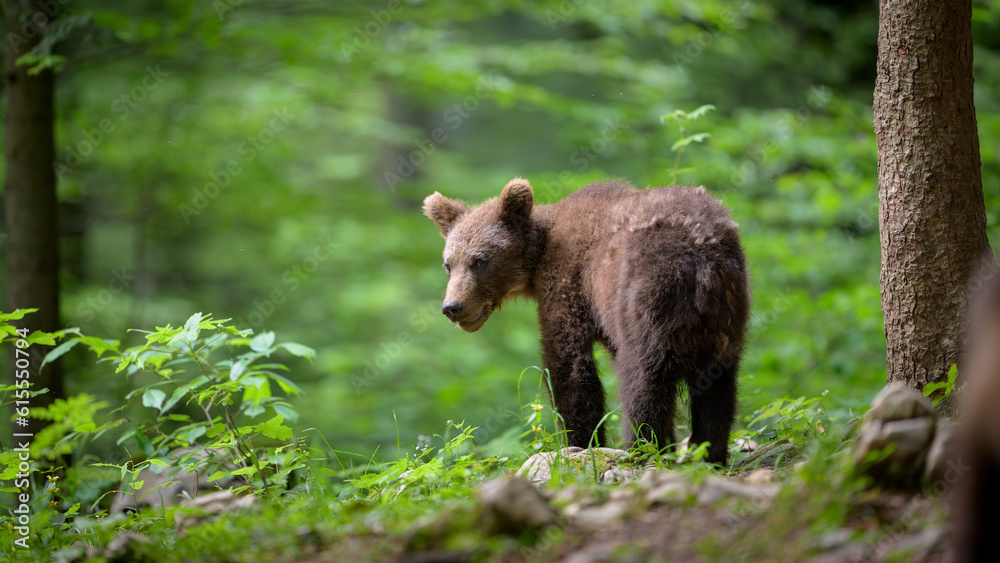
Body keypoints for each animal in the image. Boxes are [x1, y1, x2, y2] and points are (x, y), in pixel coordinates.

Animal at [422, 178, 750, 465]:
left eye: (480, 261)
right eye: (448, 265)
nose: (452, 306)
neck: (537, 262)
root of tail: (701, 257)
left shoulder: (570, 284)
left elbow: (568, 365)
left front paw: (580, 442)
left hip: (647, 295)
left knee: (643, 379)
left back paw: (641, 450)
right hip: (725, 312)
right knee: (718, 388)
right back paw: (709, 455)